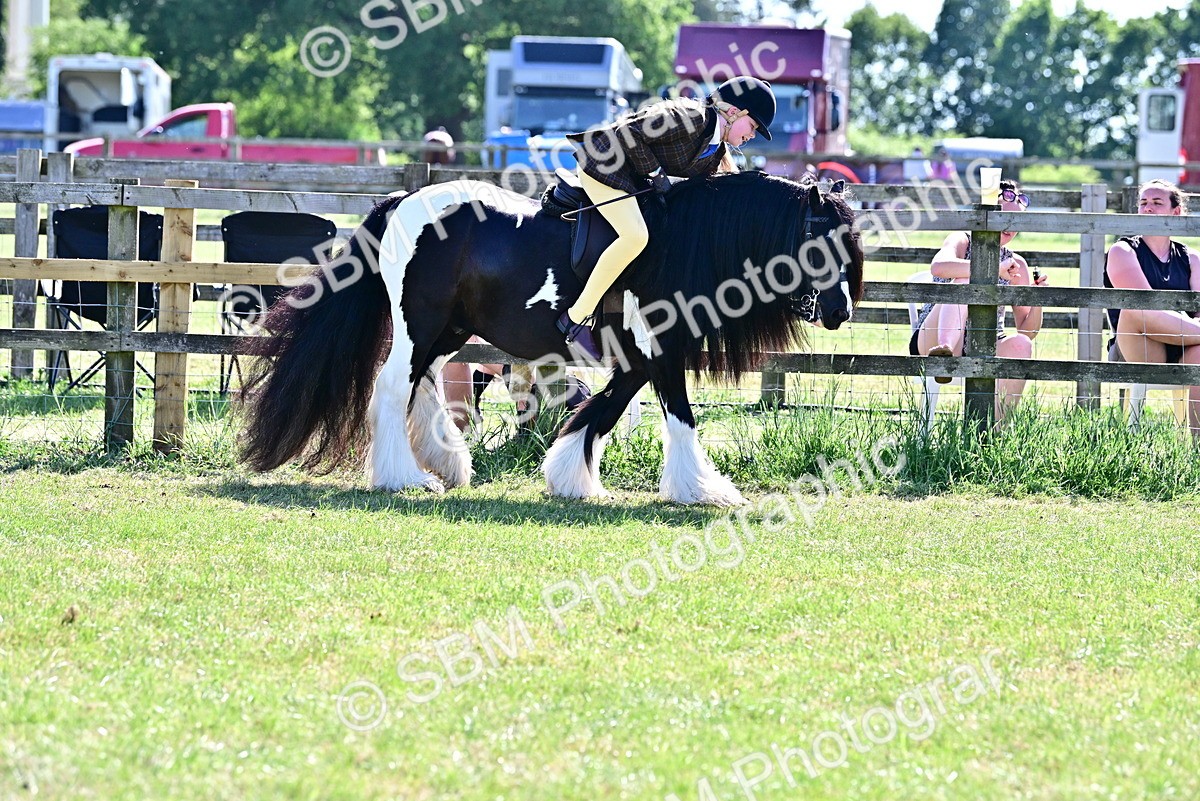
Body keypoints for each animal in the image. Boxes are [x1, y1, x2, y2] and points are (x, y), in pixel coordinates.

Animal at [238, 171, 864, 506]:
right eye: (818, 242)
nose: (840, 311)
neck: (680, 242)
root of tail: (404, 201)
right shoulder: (660, 351)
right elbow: (681, 418)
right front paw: (703, 489)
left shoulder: (638, 360)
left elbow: (602, 411)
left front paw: (571, 476)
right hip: (420, 324)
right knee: (392, 389)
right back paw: (404, 477)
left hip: (449, 329)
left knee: (425, 385)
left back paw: (447, 463)